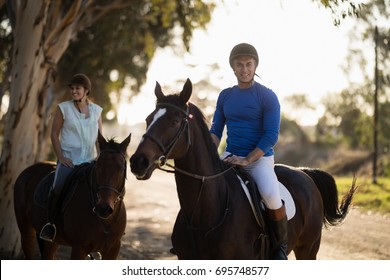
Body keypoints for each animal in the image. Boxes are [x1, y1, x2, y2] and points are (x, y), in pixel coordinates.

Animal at [13, 132, 131, 260]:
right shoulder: (79, 248)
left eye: (121, 168)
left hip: (53, 241)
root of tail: (27, 172)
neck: (106, 221)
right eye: (98, 167)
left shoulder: (112, 250)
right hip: (26, 230)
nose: (103, 209)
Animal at [130, 77, 356, 260]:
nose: (137, 162)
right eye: (148, 119)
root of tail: (304, 172)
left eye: (175, 121)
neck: (206, 211)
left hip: (308, 249)